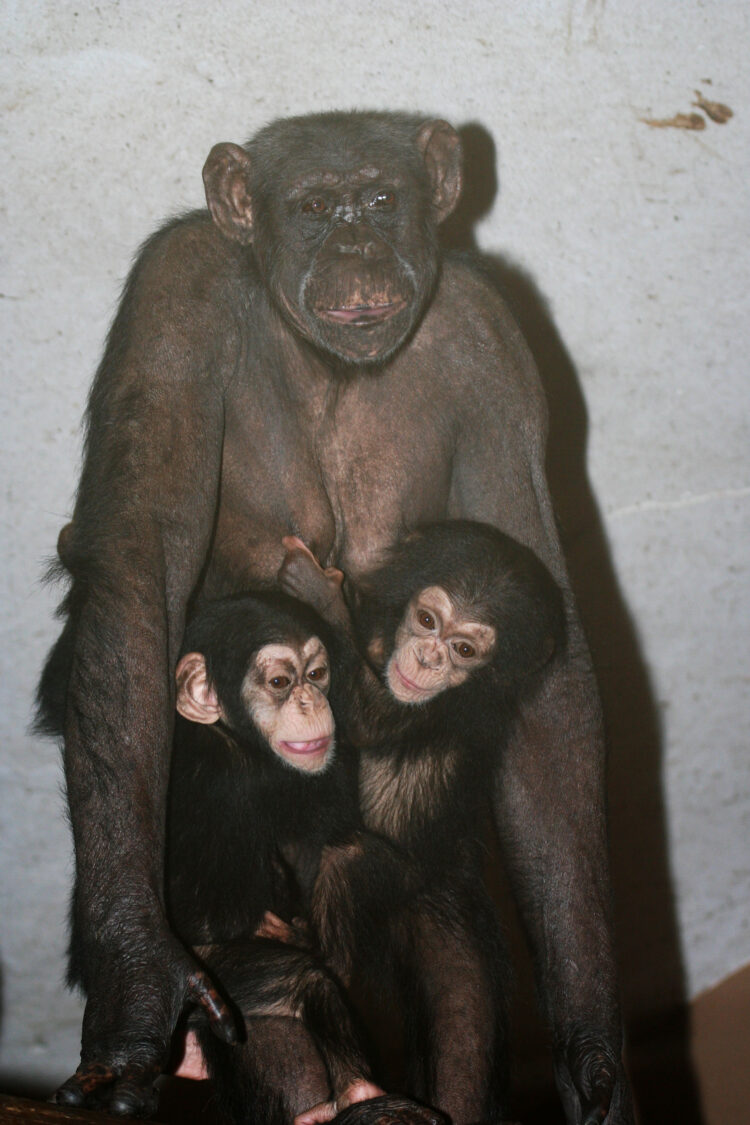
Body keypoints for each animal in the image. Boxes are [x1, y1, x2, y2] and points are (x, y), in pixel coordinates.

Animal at [278, 519, 566, 1125]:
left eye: (464, 649)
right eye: (429, 620)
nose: (431, 658)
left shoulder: (452, 706)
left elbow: (368, 718)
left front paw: (316, 592)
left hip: (413, 889)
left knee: (350, 863)